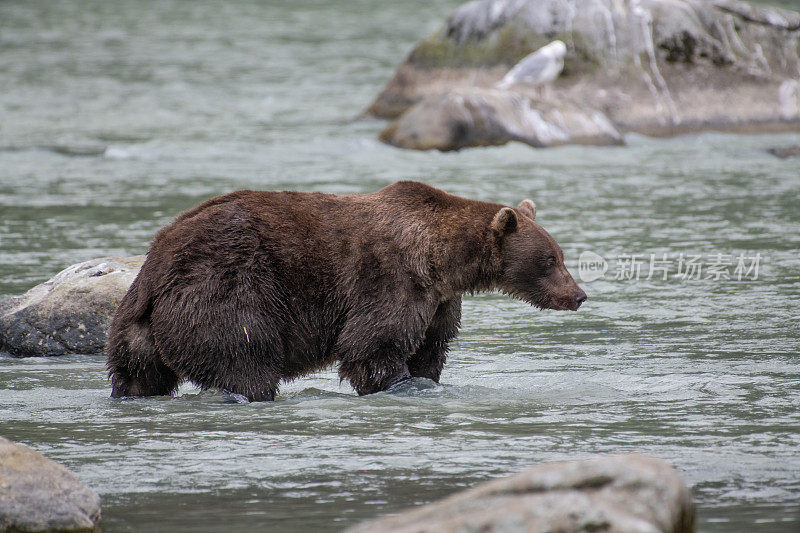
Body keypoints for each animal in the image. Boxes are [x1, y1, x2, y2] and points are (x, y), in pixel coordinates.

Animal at [106, 181, 584, 402]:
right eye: (549, 260)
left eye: (560, 255)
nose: (577, 295)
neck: (443, 260)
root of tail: (155, 263)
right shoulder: (393, 277)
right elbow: (373, 344)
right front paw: (398, 382)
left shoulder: (440, 300)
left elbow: (431, 345)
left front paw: (426, 377)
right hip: (226, 288)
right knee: (243, 356)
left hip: (136, 327)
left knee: (137, 374)